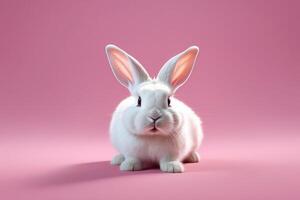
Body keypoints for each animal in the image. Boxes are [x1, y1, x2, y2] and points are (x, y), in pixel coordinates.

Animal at [104, 44, 203, 173]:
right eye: (139, 101)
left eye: (169, 101)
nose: (154, 116)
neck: (153, 137)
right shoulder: (131, 152)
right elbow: (133, 158)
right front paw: (129, 166)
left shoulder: (171, 153)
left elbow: (169, 160)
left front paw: (173, 167)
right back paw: (117, 159)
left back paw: (193, 157)